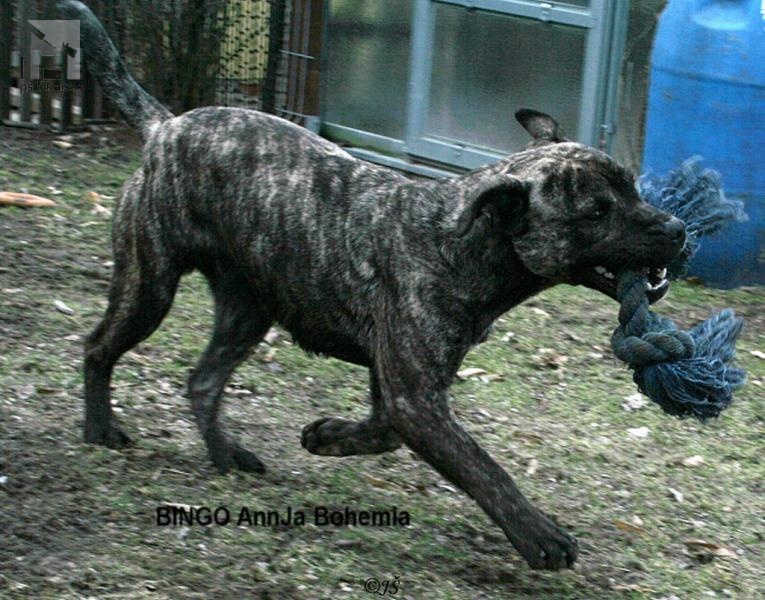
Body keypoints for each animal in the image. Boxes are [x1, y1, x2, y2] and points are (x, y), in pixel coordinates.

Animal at [61, 1, 688, 572]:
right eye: (598, 212)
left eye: (633, 187)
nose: (679, 229)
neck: (460, 240)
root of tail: (167, 127)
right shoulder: (416, 399)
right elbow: (484, 468)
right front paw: (539, 535)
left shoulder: (401, 392)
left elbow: (382, 432)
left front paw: (328, 436)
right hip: (150, 289)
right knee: (98, 348)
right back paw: (98, 428)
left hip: (246, 312)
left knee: (203, 382)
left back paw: (226, 454)